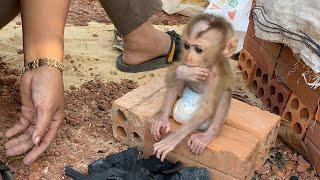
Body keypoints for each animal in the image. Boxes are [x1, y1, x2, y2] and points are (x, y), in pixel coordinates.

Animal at [150, 13, 238, 161]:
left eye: (198, 50)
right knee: (177, 82)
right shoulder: (183, 60)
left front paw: (172, 140)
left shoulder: (216, 76)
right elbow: (173, 77)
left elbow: (206, 109)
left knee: (225, 93)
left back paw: (210, 133)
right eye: (186, 46)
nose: (189, 57)